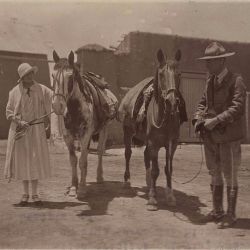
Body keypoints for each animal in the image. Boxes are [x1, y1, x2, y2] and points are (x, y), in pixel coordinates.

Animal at [51, 51, 117, 199]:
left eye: (70, 77)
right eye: (52, 75)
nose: (57, 105)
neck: (75, 108)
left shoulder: (85, 135)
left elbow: (82, 161)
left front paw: (81, 189)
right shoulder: (68, 137)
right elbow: (74, 160)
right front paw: (73, 187)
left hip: (104, 130)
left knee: (99, 152)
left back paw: (99, 177)